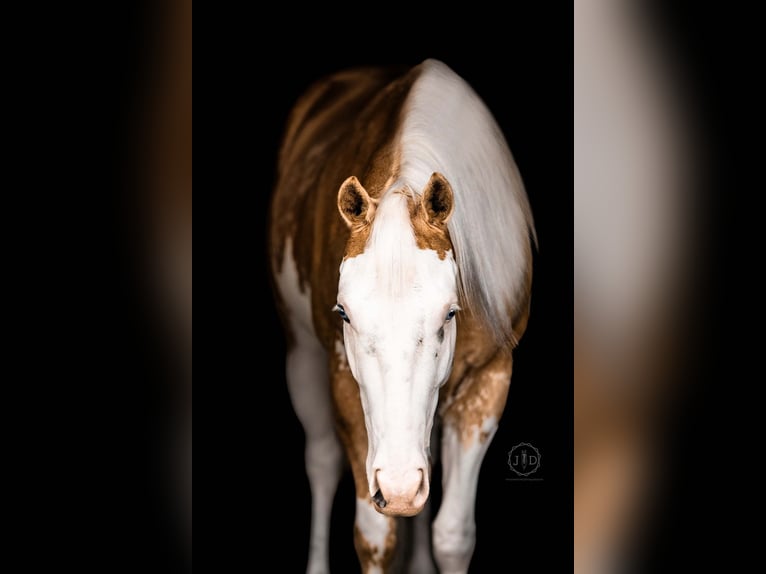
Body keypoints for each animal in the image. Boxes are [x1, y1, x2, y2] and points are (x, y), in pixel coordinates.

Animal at [269, 59, 535, 574]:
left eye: (450, 313)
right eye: (344, 314)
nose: (397, 488)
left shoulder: (489, 378)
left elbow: (453, 535)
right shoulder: (344, 379)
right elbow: (376, 535)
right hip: (301, 351)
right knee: (322, 461)